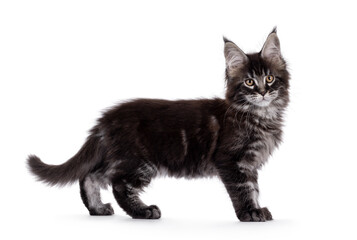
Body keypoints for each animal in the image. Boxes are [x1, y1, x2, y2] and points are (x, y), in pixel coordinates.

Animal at [27, 28, 290, 223]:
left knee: (91, 175)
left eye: (269, 78)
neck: (259, 115)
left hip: (122, 157)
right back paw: (143, 211)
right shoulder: (231, 161)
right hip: (139, 161)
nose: (263, 92)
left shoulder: (249, 164)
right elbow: (243, 189)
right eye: (249, 82)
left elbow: (253, 188)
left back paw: (97, 209)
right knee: (117, 184)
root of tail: (107, 119)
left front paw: (257, 209)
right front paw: (250, 213)